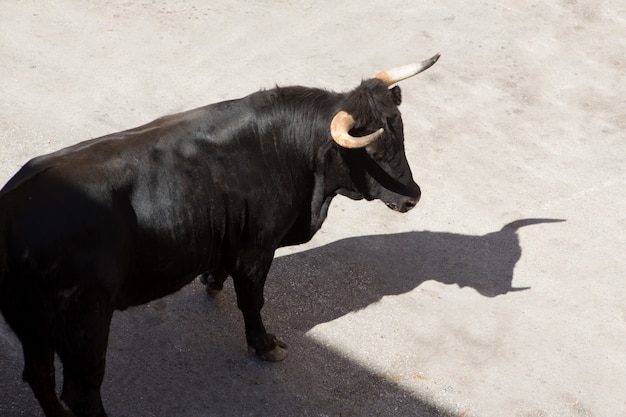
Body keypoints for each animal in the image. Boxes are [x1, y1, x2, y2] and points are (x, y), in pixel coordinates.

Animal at [0, 56, 438, 416]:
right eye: (374, 153)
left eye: (401, 135)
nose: (413, 197)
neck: (289, 151)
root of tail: (12, 207)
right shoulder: (259, 247)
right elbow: (253, 299)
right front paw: (264, 345)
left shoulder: (233, 241)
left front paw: (212, 280)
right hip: (84, 324)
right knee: (82, 391)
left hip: (32, 325)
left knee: (40, 377)